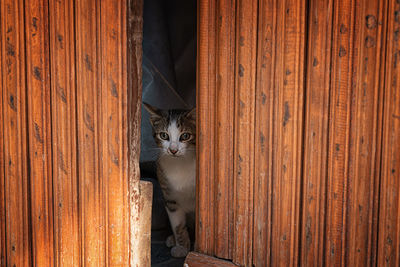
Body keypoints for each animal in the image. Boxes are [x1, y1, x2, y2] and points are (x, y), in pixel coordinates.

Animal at [144, 101, 195, 258]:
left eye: (185, 136)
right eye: (163, 135)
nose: (173, 150)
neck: (180, 163)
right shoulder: (171, 200)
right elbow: (178, 225)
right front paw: (182, 246)